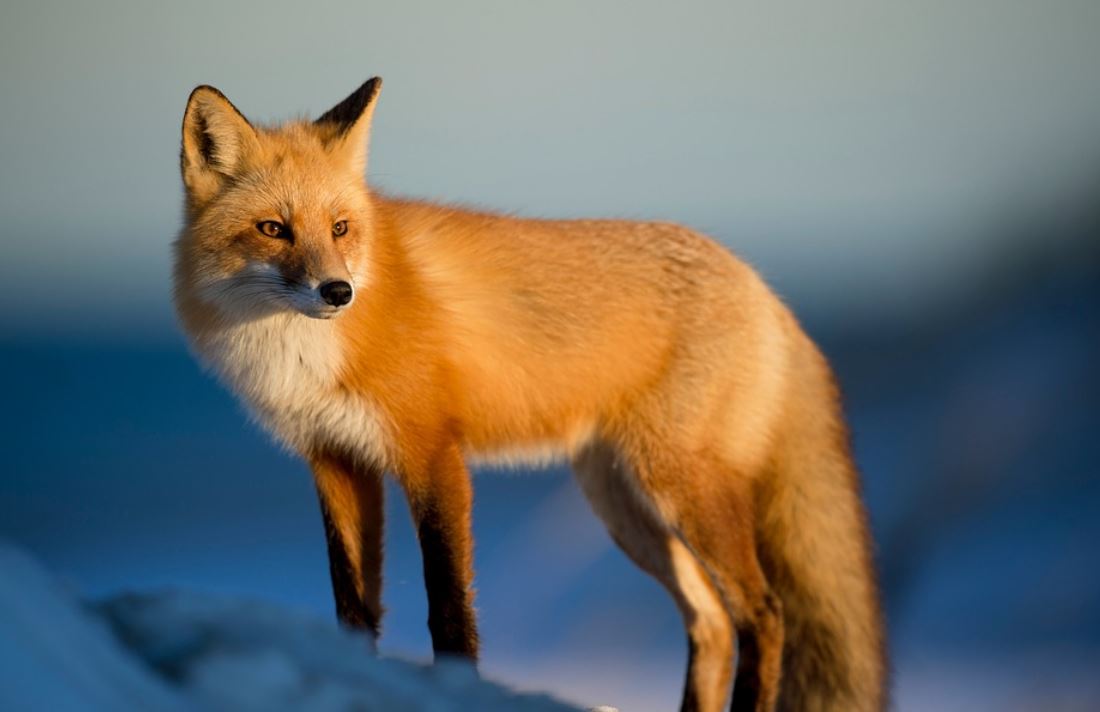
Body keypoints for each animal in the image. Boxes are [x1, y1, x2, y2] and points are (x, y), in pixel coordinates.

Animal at [173, 77, 886, 712]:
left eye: (341, 228)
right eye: (273, 229)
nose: (338, 292)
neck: (302, 352)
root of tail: (764, 288)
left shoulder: (433, 455)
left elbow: (448, 607)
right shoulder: (336, 460)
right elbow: (353, 606)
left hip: (680, 490)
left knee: (763, 615)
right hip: (626, 508)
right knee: (711, 623)